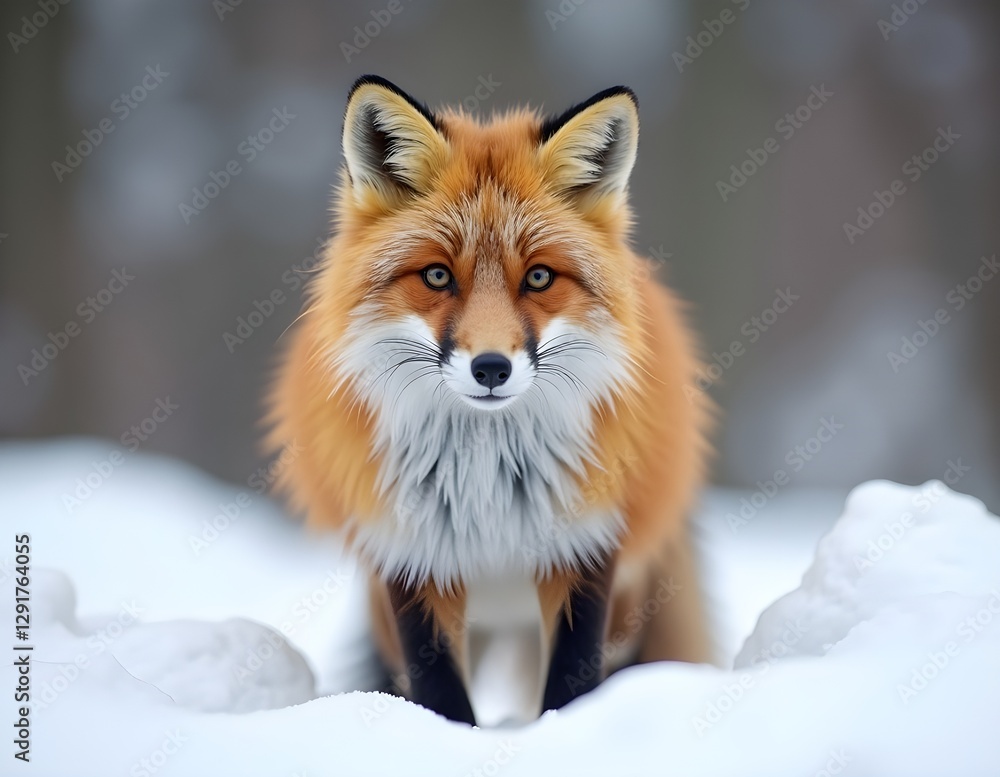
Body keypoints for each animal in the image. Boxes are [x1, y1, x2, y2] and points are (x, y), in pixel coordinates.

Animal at [268, 75, 712, 725]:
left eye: (538, 278)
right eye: (436, 276)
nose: (492, 368)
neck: (488, 483)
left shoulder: (588, 546)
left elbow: (572, 685)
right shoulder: (409, 557)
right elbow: (440, 696)